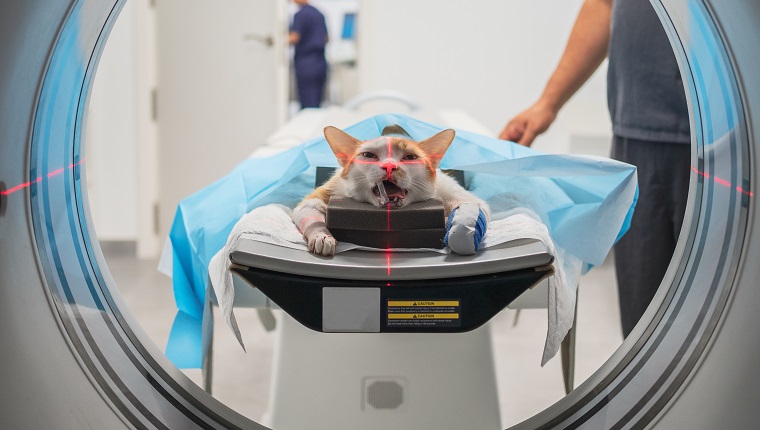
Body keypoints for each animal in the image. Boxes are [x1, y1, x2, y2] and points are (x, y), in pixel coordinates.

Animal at [290, 123, 492, 255]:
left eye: (410, 157)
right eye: (368, 155)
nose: (389, 166)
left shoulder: (461, 196)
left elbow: (468, 214)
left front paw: (450, 224)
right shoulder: (329, 191)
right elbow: (310, 214)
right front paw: (322, 236)